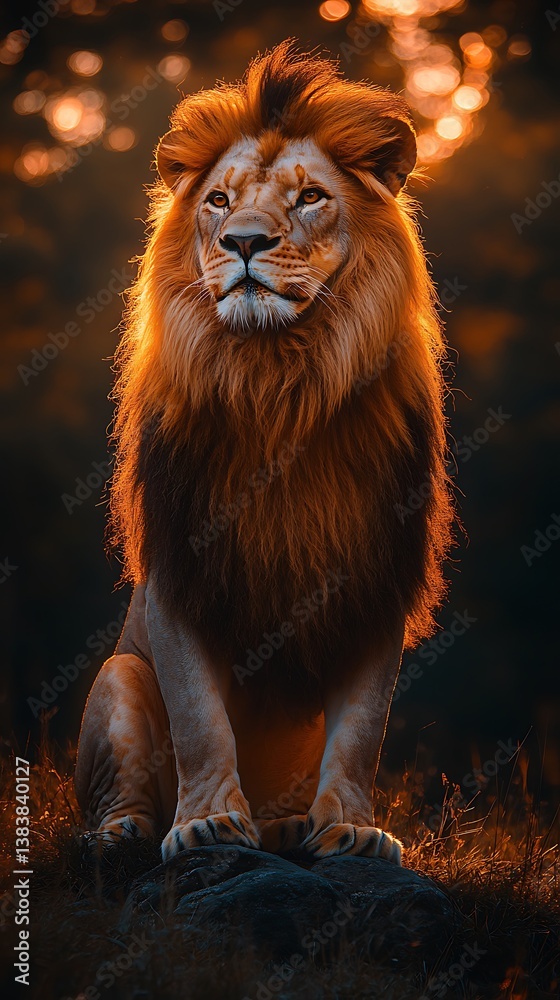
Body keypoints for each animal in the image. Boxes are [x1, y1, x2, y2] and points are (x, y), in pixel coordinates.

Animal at [75, 42, 454, 864]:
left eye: (310, 197)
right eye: (218, 201)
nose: (243, 242)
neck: (277, 379)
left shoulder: (377, 576)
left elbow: (362, 730)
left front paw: (351, 829)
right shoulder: (179, 568)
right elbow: (199, 719)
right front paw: (208, 823)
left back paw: (287, 825)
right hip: (117, 674)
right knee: (119, 791)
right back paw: (123, 833)